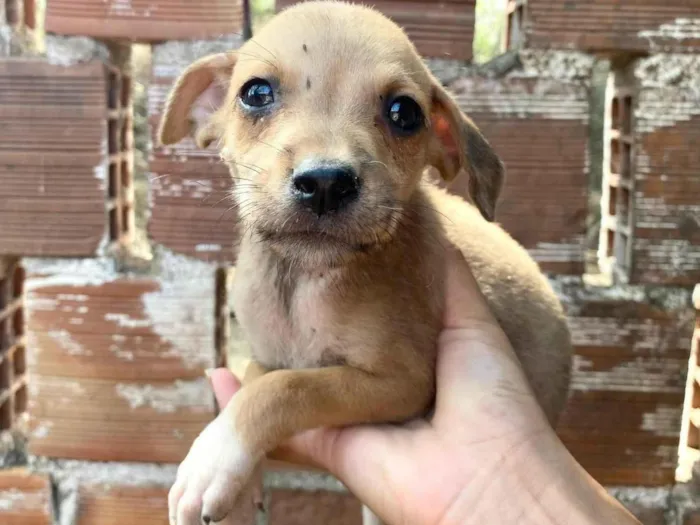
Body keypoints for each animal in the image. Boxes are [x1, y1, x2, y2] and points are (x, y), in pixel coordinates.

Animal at [159, 2, 576, 520]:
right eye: (255, 93)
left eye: (404, 113)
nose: (324, 182)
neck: (307, 278)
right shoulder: (268, 356)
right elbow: (256, 381)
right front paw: (239, 480)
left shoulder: (401, 382)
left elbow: (287, 389)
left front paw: (214, 459)